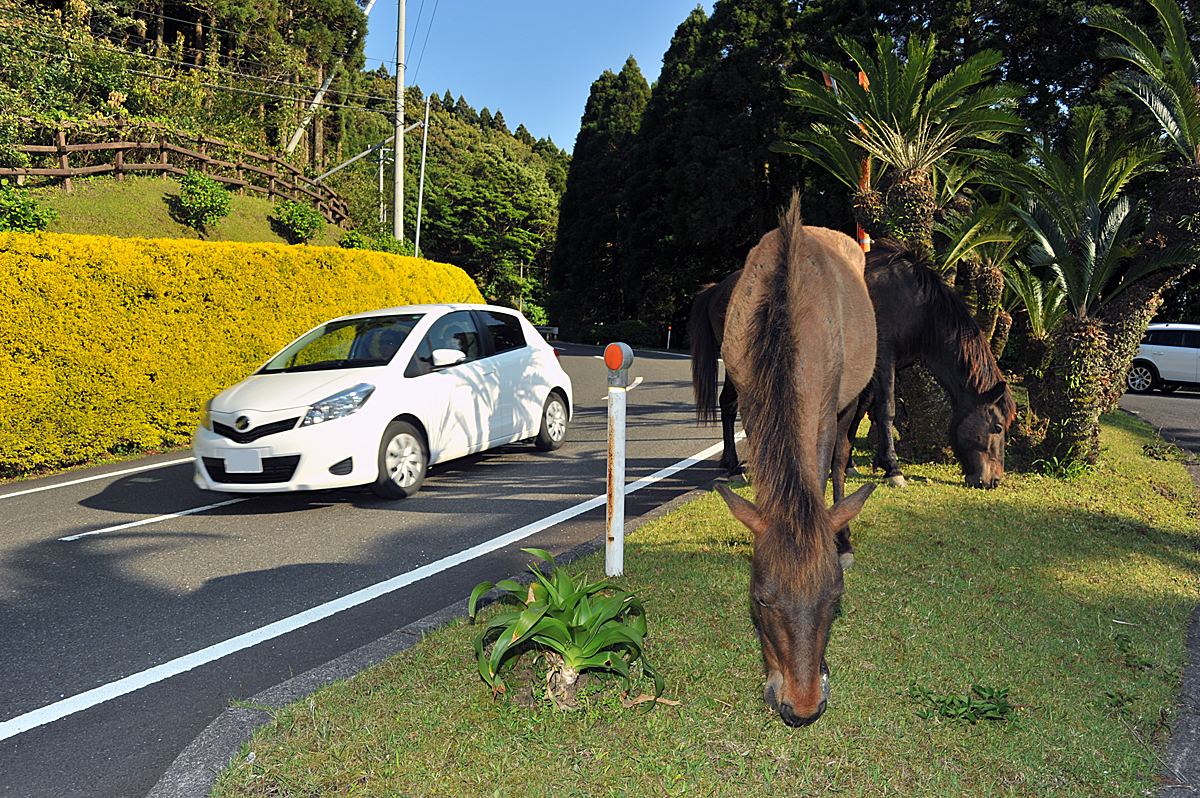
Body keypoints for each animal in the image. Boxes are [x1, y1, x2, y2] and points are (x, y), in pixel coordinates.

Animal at [691, 236, 1017, 489]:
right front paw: (893, 470)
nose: (994, 480)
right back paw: (736, 467)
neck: (916, 304)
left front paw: (850, 464)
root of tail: (720, 287)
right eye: (998, 427)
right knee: (732, 404)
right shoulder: (884, 359)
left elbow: (861, 411)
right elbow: (886, 410)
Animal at [705, 194, 878, 729]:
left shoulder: (825, 407)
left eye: (836, 598)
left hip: (852, 400)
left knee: (841, 461)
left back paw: (845, 537)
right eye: (760, 598)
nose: (801, 707)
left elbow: (823, 474)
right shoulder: (749, 395)